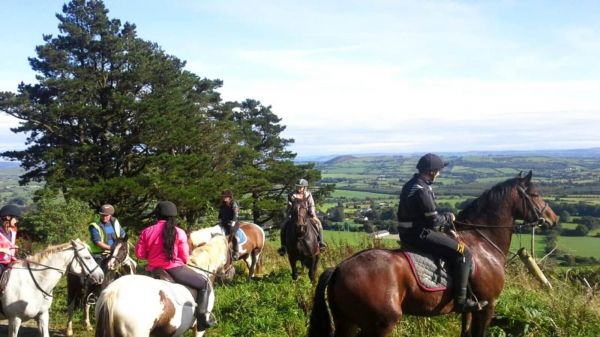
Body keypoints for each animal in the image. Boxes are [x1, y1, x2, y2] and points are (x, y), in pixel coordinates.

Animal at [310, 172, 556, 334]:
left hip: (347, 322)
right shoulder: (487, 306)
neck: (483, 242)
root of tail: (339, 268)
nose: (553, 219)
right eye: (535, 194)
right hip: (381, 324)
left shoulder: (469, 310)